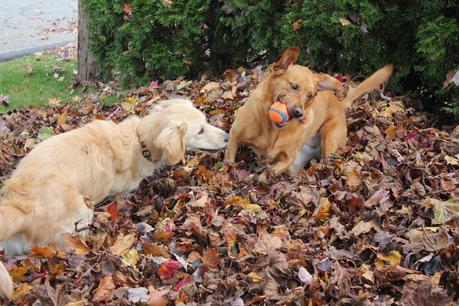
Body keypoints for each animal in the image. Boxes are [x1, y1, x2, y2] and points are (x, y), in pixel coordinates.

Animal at [0, 99, 230, 300]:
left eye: (206, 120)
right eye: (200, 131)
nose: (228, 136)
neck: (140, 138)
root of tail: (19, 205)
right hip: (82, 211)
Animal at [225, 49, 394, 176]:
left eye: (310, 95)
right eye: (294, 86)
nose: (298, 113)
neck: (272, 130)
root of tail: (339, 105)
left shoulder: (288, 159)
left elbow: (270, 172)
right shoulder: (234, 137)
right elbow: (229, 162)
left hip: (329, 141)